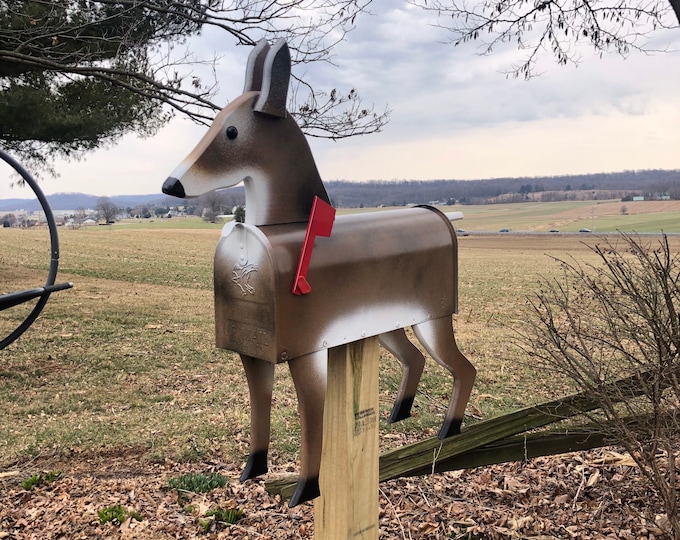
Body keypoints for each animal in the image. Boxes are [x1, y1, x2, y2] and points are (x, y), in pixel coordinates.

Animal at [162, 38, 476, 507]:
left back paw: (447, 430)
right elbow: (259, 412)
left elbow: (312, 421)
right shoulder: (255, 349)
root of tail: (441, 216)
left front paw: (305, 490)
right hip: (387, 323)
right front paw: (251, 471)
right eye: (214, 120)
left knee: (463, 369)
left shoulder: (306, 348)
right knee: (415, 359)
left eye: (232, 131)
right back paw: (397, 413)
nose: (171, 185)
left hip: (433, 315)